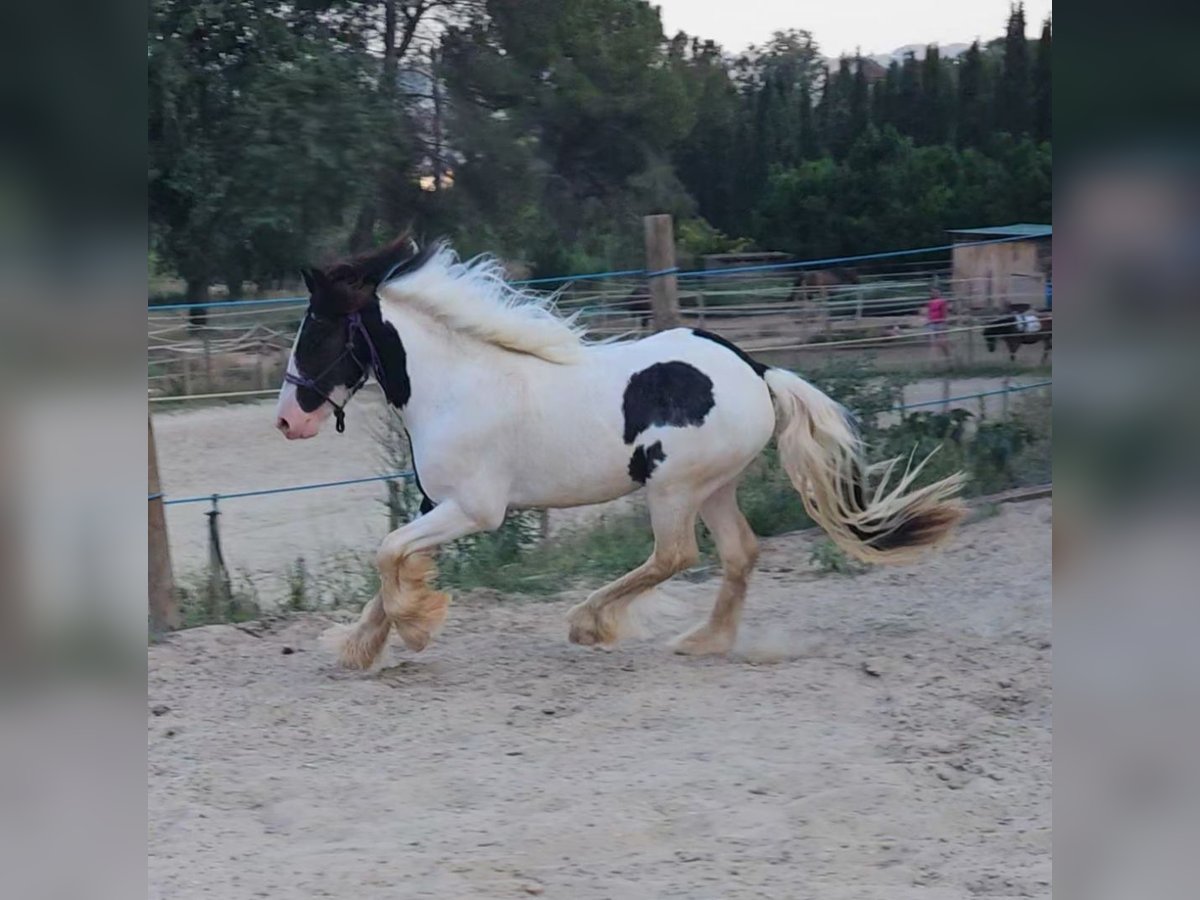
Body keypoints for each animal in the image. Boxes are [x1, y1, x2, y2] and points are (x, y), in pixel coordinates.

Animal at [272, 236, 964, 672]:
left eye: (317, 330)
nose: (287, 419)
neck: (457, 385)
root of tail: (754, 369)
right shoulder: (435, 504)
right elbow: (389, 564)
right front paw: (359, 648)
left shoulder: (473, 510)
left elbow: (388, 556)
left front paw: (413, 628)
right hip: (714, 487)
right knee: (739, 553)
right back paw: (703, 641)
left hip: (674, 488)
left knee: (676, 555)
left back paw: (590, 622)